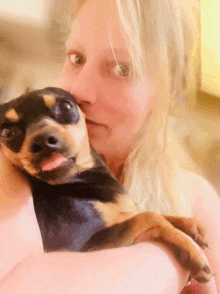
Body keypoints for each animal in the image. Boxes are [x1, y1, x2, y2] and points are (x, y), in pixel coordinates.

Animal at [0, 86, 213, 282]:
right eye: (7, 132)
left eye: (66, 106)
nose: (42, 140)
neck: (75, 180)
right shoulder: (82, 247)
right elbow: (150, 217)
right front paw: (191, 253)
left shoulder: (124, 214)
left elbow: (154, 213)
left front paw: (191, 225)